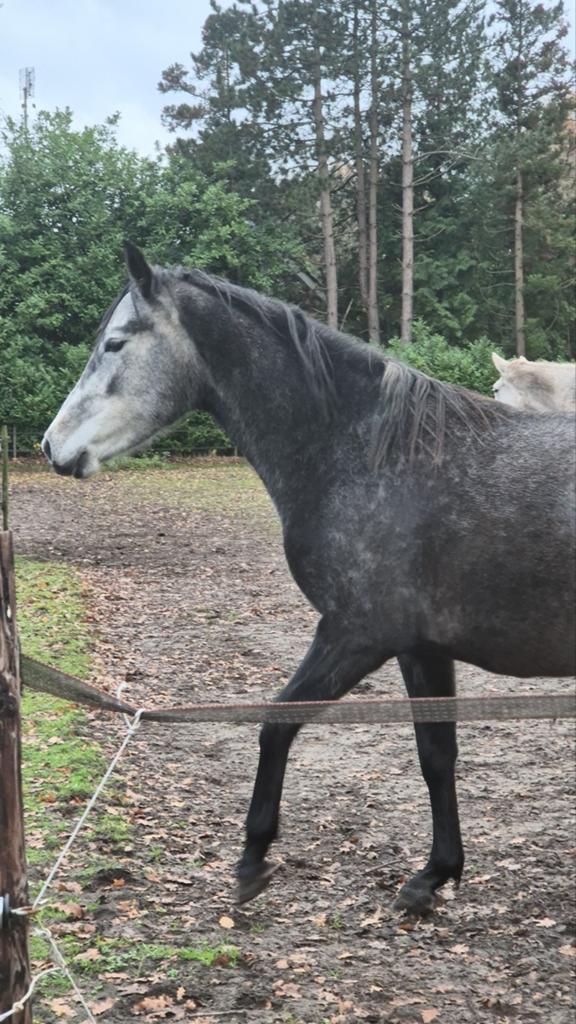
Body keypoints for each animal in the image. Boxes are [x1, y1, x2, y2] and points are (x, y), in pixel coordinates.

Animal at [43, 244, 576, 915]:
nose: (52, 445)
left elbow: (276, 724)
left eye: (114, 344)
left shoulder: (356, 635)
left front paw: (253, 857)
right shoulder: (420, 647)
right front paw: (435, 874)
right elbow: (436, 754)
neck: (369, 456)